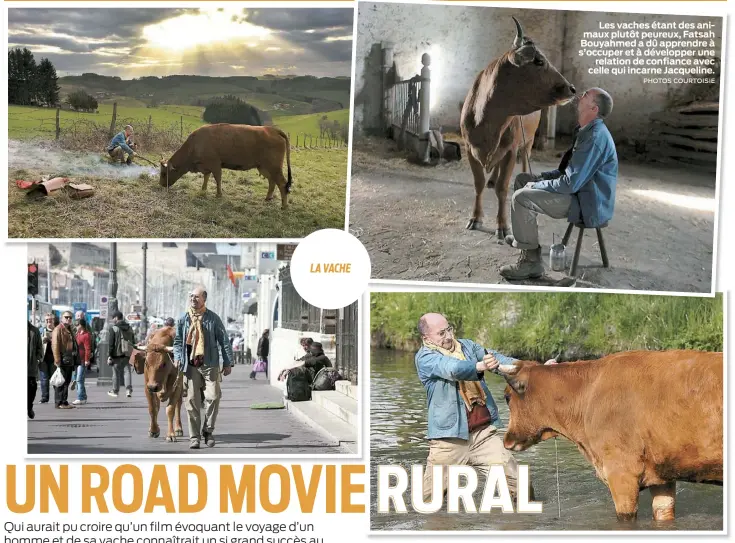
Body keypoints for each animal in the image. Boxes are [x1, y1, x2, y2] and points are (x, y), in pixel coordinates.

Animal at [161, 124, 294, 207]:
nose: (161, 185)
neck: (195, 144)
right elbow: (206, 177)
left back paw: (284, 206)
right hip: (263, 167)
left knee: (282, 184)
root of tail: (273, 130)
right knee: (272, 181)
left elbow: (217, 179)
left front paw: (218, 195)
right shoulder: (206, 166)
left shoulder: (215, 164)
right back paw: (267, 199)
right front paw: (203, 190)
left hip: (274, 167)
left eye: (164, 173)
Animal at [462, 16, 576, 238]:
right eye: (539, 61)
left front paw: (502, 225)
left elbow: (502, 188)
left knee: (524, 160)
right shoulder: (469, 148)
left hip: (527, 141)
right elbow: (478, 183)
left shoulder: (511, 149)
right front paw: (475, 218)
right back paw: (492, 179)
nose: (572, 88)